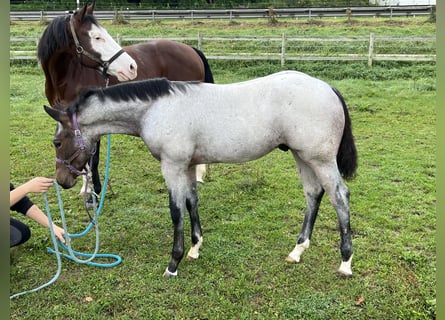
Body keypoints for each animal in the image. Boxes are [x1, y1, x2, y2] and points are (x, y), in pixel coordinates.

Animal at [36, 2, 213, 201]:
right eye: (97, 37)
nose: (131, 67)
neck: (69, 76)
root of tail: (191, 50)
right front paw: (86, 189)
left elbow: (92, 157)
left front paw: (94, 191)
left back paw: (197, 175)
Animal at [44, 70, 358, 278]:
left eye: (57, 142)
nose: (62, 180)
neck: (156, 109)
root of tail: (328, 87)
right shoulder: (188, 165)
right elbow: (191, 202)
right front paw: (195, 248)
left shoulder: (172, 166)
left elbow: (176, 211)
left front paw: (174, 263)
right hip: (301, 156)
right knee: (313, 194)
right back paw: (297, 251)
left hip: (320, 159)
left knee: (339, 196)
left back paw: (345, 262)